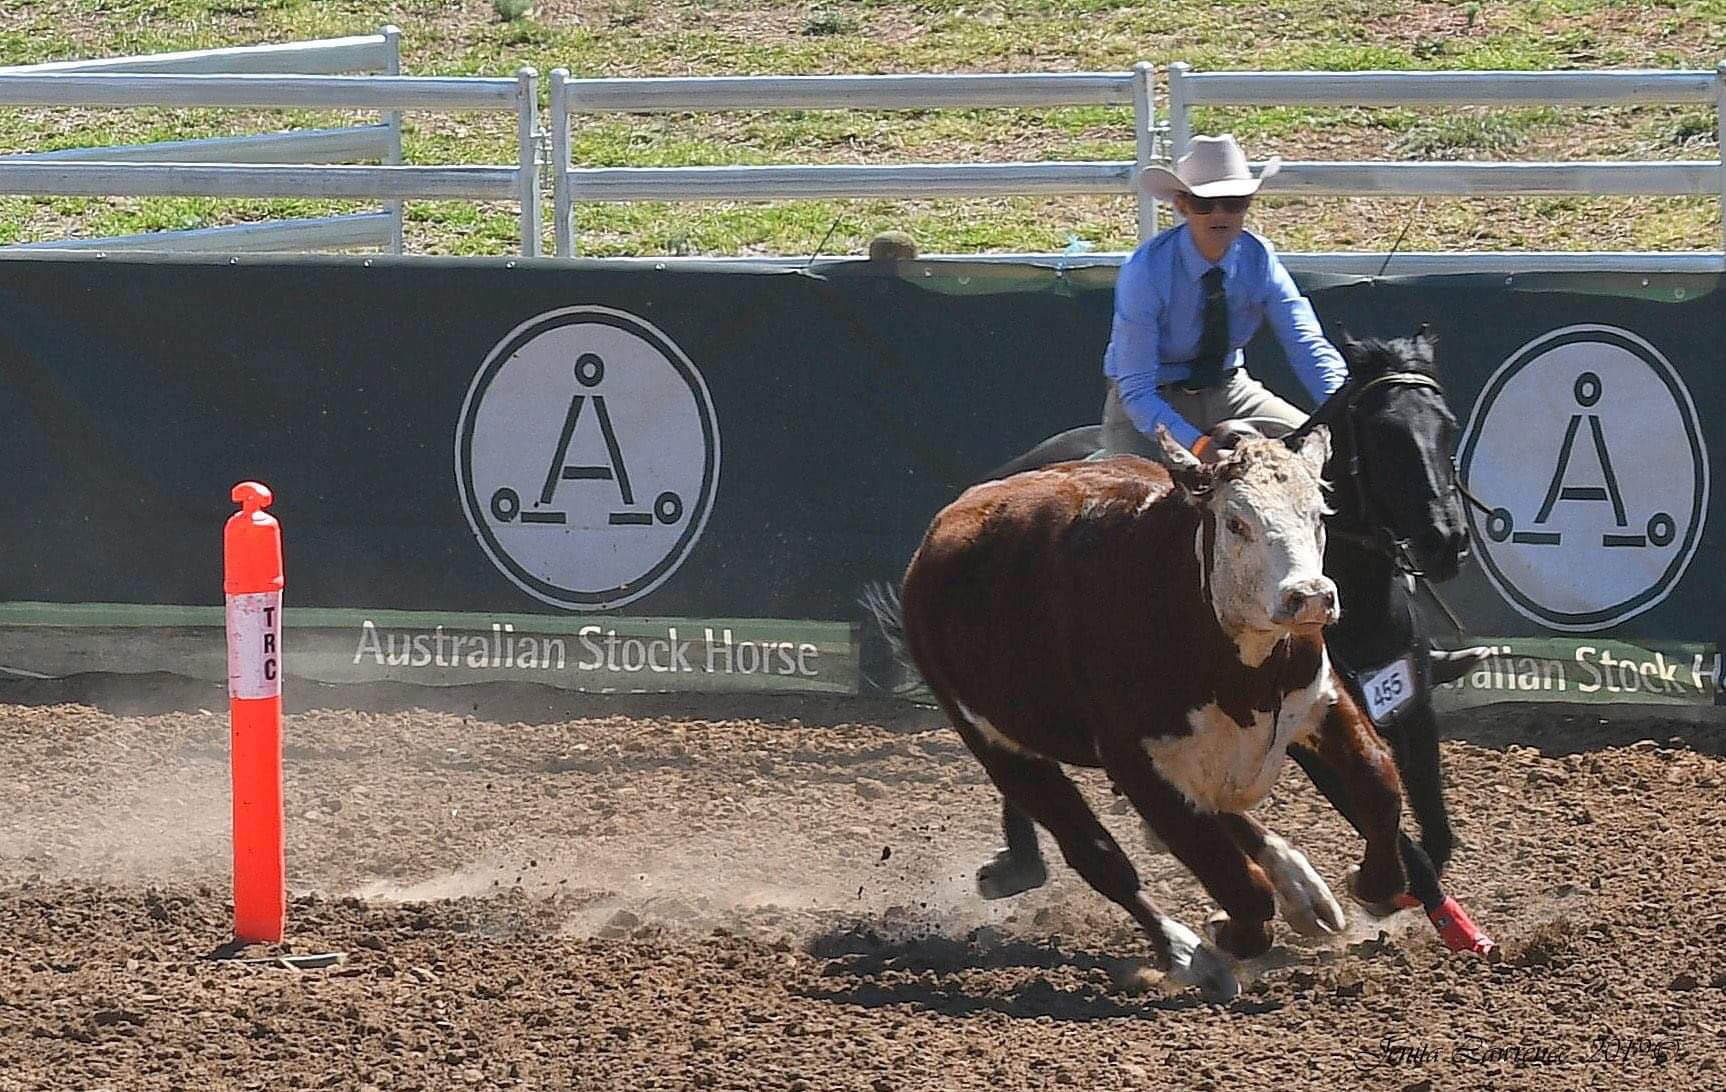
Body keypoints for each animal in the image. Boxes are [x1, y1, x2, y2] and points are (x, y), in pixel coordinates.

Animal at [884, 426, 1410, 1002]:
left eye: (1317, 514)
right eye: (1236, 522)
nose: (1311, 597)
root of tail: (941, 533)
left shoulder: (1319, 701)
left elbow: (1380, 784)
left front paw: (1371, 884)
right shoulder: (1137, 763)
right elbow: (1236, 881)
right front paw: (1220, 937)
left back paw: (1303, 891)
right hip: (996, 744)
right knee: (1100, 858)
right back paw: (1183, 949)